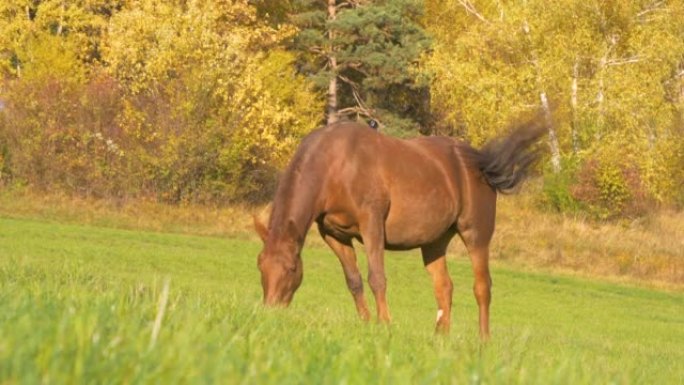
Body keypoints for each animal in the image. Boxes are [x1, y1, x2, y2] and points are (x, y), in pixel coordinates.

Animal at [254, 115, 548, 338]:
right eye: (261, 266)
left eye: (291, 268)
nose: (270, 312)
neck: (337, 163)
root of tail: (480, 162)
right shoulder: (334, 235)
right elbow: (354, 281)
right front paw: (365, 322)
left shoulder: (371, 224)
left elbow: (376, 278)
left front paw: (384, 324)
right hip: (434, 242)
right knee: (444, 287)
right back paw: (441, 337)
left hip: (476, 234)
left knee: (482, 287)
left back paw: (483, 340)